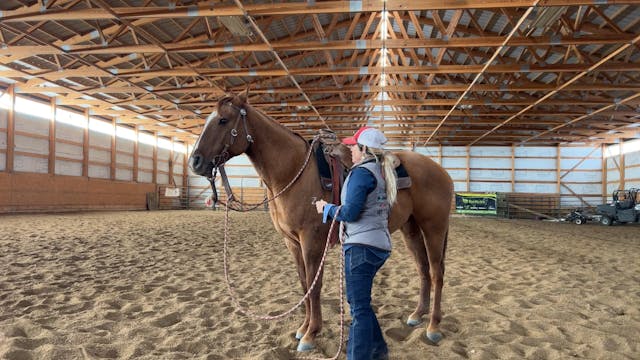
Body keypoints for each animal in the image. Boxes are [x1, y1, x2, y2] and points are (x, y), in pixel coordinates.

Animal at [188, 90, 452, 352]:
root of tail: (442, 172)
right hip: (411, 229)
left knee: (437, 272)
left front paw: (311, 334)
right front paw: (303, 328)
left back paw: (433, 327)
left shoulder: (311, 242)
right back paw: (417, 315)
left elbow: (314, 286)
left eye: (223, 120)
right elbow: (305, 283)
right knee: (423, 269)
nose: (195, 162)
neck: (293, 172)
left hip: (434, 228)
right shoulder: (293, 243)